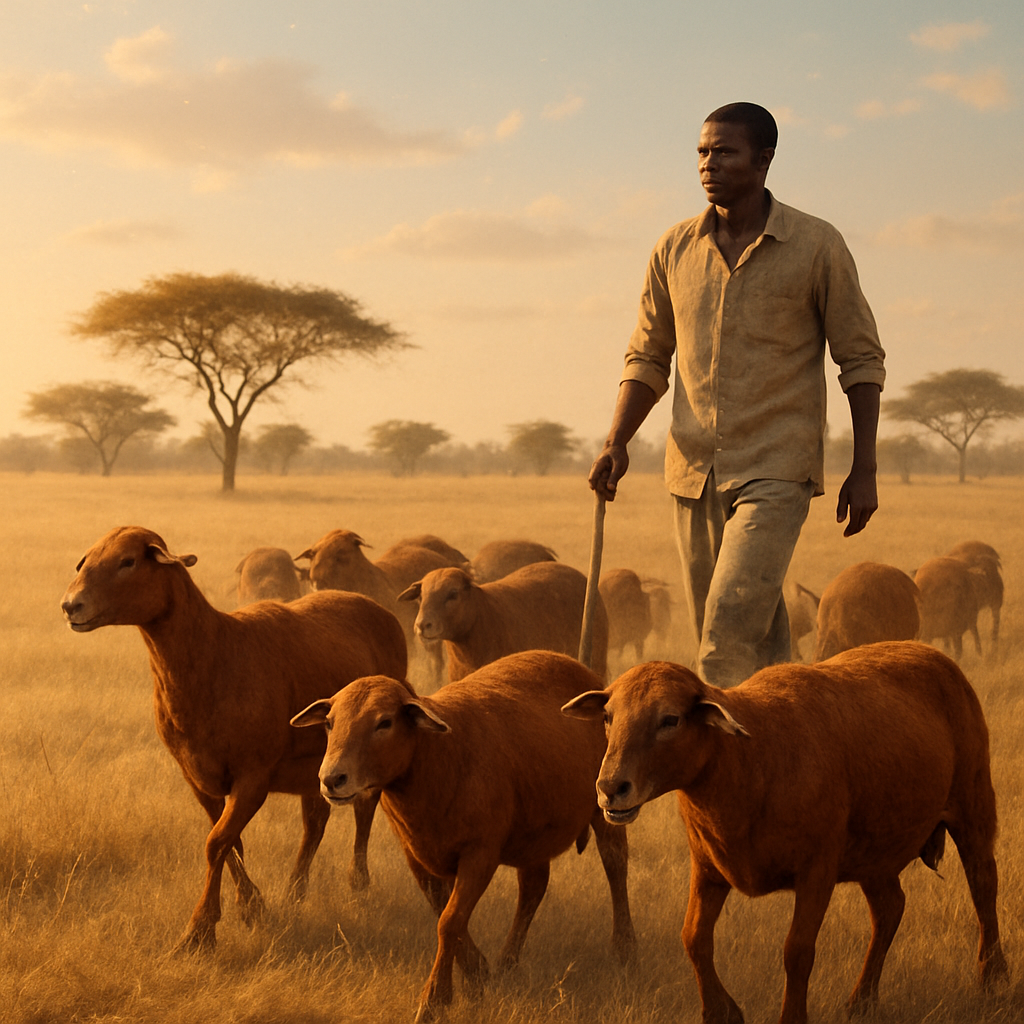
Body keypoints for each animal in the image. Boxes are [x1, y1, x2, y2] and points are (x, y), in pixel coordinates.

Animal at [61, 526, 407, 952]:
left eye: (128, 561)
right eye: (86, 559)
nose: (71, 605)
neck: (215, 655)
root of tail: (377, 607)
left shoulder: (253, 776)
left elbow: (216, 843)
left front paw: (198, 932)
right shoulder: (198, 778)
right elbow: (229, 844)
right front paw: (253, 908)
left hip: (368, 752)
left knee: (364, 809)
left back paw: (358, 884)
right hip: (316, 762)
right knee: (315, 823)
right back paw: (295, 893)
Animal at [291, 651, 636, 1022]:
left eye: (384, 723)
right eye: (329, 723)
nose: (331, 779)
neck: (435, 760)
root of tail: (568, 660)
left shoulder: (480, 853)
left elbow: (449, 921)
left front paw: (434, 1001)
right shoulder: (417, 853)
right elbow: (445, 915)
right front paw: (478, 976)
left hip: (607, 800)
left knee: (615, 865)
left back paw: (624, 949)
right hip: (533, 827)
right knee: (533, 887)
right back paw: (507, 963)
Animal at [562, 642, 1007, 1024]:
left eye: (670, 720)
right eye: (608, 717)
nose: (610, 788)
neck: (748, 760)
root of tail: (925, 648)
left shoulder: (817, 869)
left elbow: (797, 951)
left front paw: (791, 1016)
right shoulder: (708, 866)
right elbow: (694, 939)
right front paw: (721, 1012)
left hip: (973, 801)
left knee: (984, 885)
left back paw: (993, 978)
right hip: (874, 846)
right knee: (890, 908)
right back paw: (862, 1001)